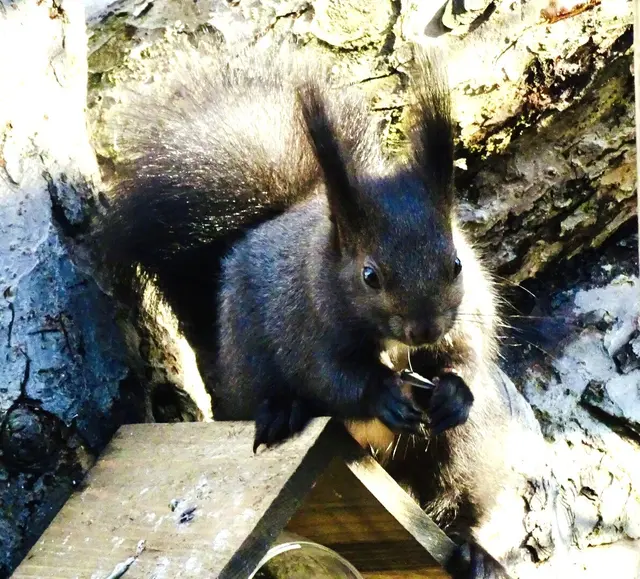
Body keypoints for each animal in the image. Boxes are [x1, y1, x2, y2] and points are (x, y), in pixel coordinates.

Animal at [95, 39, 511, 578]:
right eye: (370, 275)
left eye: (456, 263)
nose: (424, 329)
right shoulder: (306, 323)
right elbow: (332, 377)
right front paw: (383, 393)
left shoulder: (468, 313)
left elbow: (469, 353)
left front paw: (454, 391)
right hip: (247, 364)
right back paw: (282, 413)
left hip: (465, 448)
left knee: (461, 497)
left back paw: (477, 552)